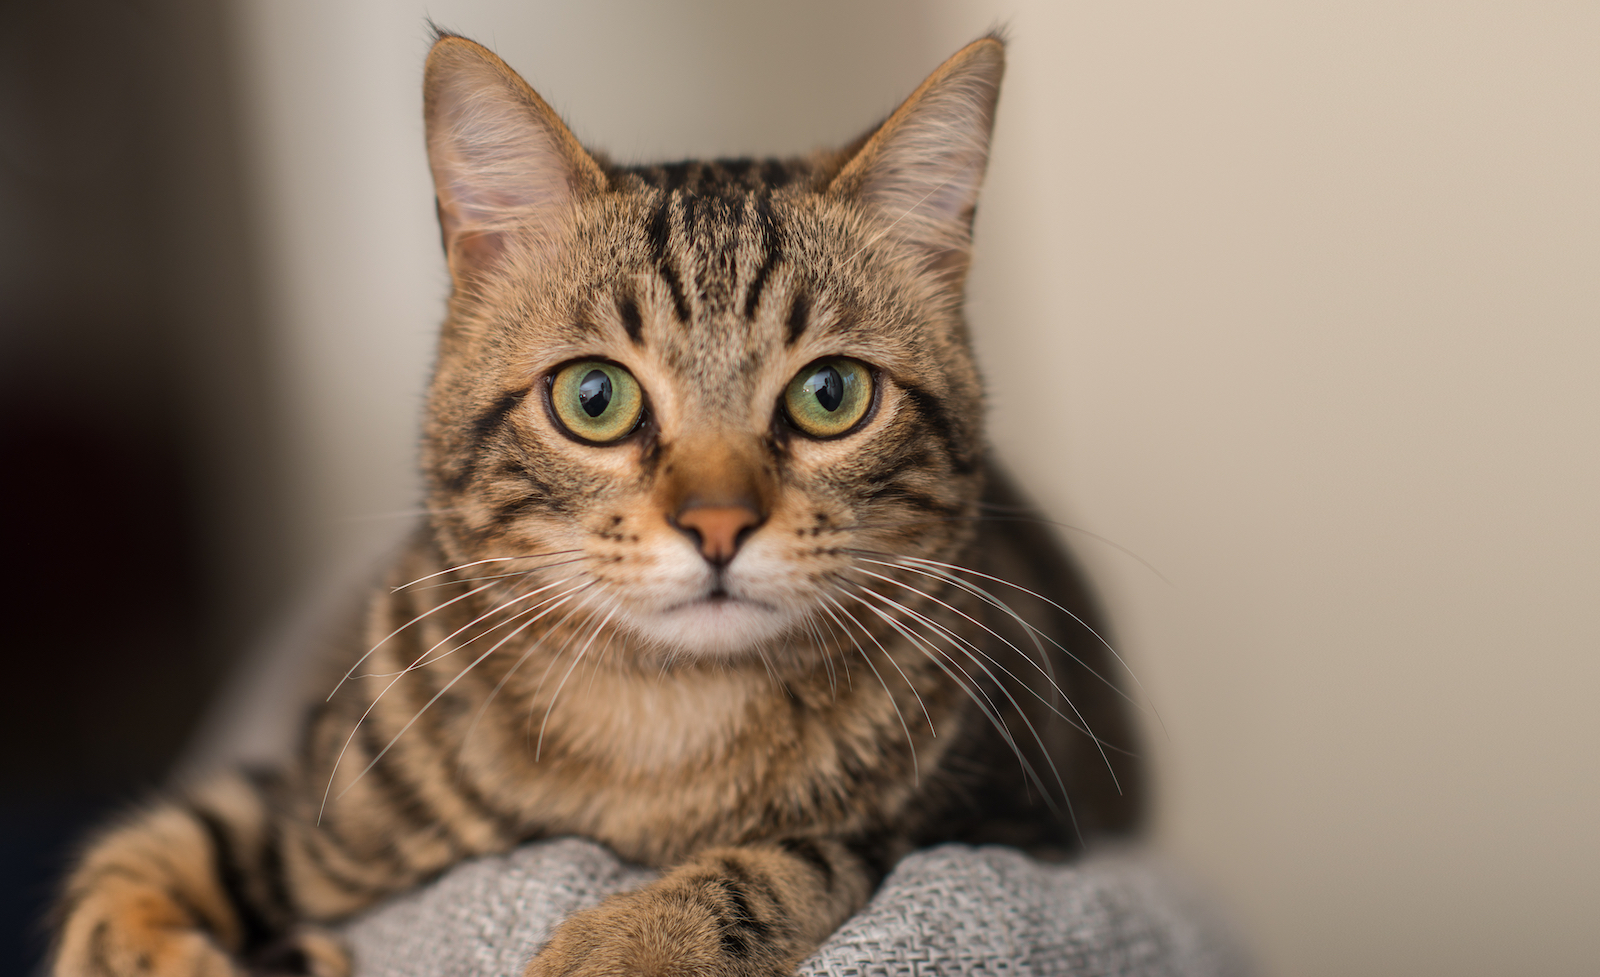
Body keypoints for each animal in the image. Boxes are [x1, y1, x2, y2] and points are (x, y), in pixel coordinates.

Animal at [50, 30, 1145, 977]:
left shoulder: (1005, 825)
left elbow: (807, 852)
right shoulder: (308, 802)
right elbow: (147, 845)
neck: (663, 724)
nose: (718, 524)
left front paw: (633, 939)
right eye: (594, 397)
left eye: (830, 394)